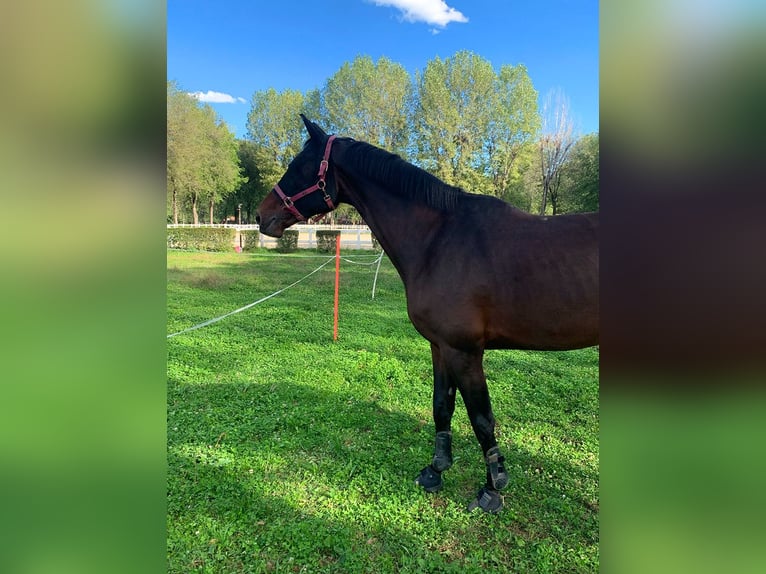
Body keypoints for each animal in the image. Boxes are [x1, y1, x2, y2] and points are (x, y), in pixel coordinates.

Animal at [256, 115, 598, 513]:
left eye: (300, 167)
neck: (439, 239)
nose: (262, 215)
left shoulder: (465, 351)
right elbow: (442, 407)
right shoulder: (441, 347)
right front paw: (435, 470)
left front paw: (493, 488)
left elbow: (482, 419)